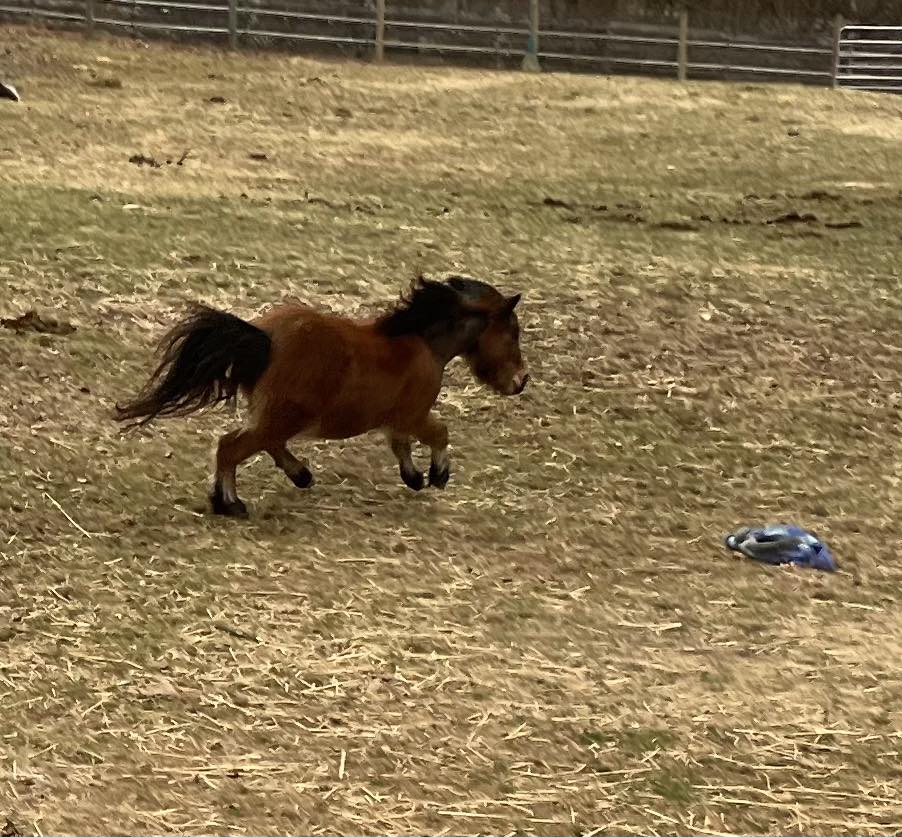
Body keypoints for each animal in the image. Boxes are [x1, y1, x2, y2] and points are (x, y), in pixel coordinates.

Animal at [115, 275, 528, 517]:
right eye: (513, 332)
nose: (521, 380)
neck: (422, 342)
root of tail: (263, 339)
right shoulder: (414, 414)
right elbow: (440, 433)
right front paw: (438, 475)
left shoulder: (395, 422)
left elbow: (400, 446)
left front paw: (414, 477)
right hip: (283, 416)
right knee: (230, 447)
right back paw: (230, 503)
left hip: (277, 416)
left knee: (261, 444)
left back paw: (299, 476)